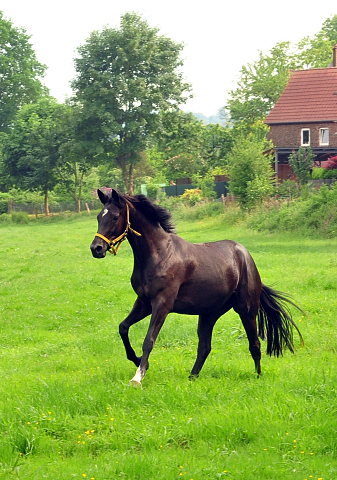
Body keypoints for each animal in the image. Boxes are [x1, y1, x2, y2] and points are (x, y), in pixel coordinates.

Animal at [89, 188, 302, 386]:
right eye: (99, 216)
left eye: (115, 216)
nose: (96, 249)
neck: (159, 254)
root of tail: (245, 256)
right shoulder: (143, 303)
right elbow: (123, 327)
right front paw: (138, 361)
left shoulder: (162, 304)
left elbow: (149, 340)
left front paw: (138, 377)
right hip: (209, 314)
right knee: (205, 347)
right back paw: (192, 377)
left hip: (246, 309)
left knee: (254, 343)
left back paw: (258, 376)